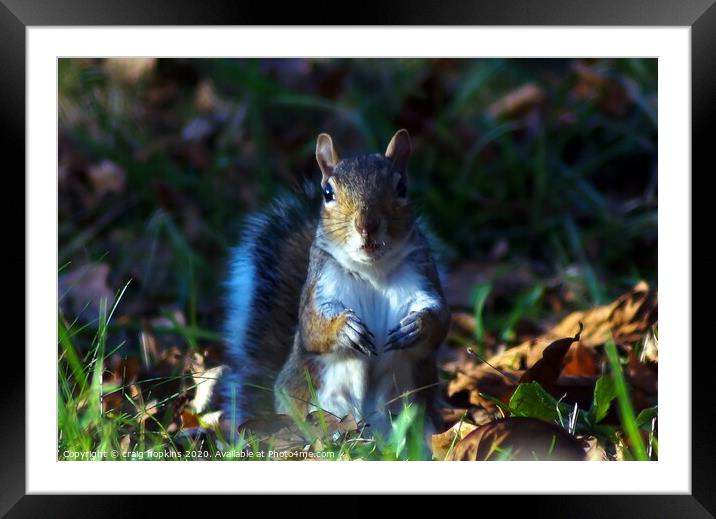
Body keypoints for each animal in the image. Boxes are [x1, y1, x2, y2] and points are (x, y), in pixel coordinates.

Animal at [221, 130, 450, 430]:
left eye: (402, 188)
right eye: (328, 193)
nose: (366, 225)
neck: (372, 272)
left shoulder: (422, 276)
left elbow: (440, 320)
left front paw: (416, 326)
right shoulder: (320, 285)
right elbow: (312, 325)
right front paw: (345, 328)